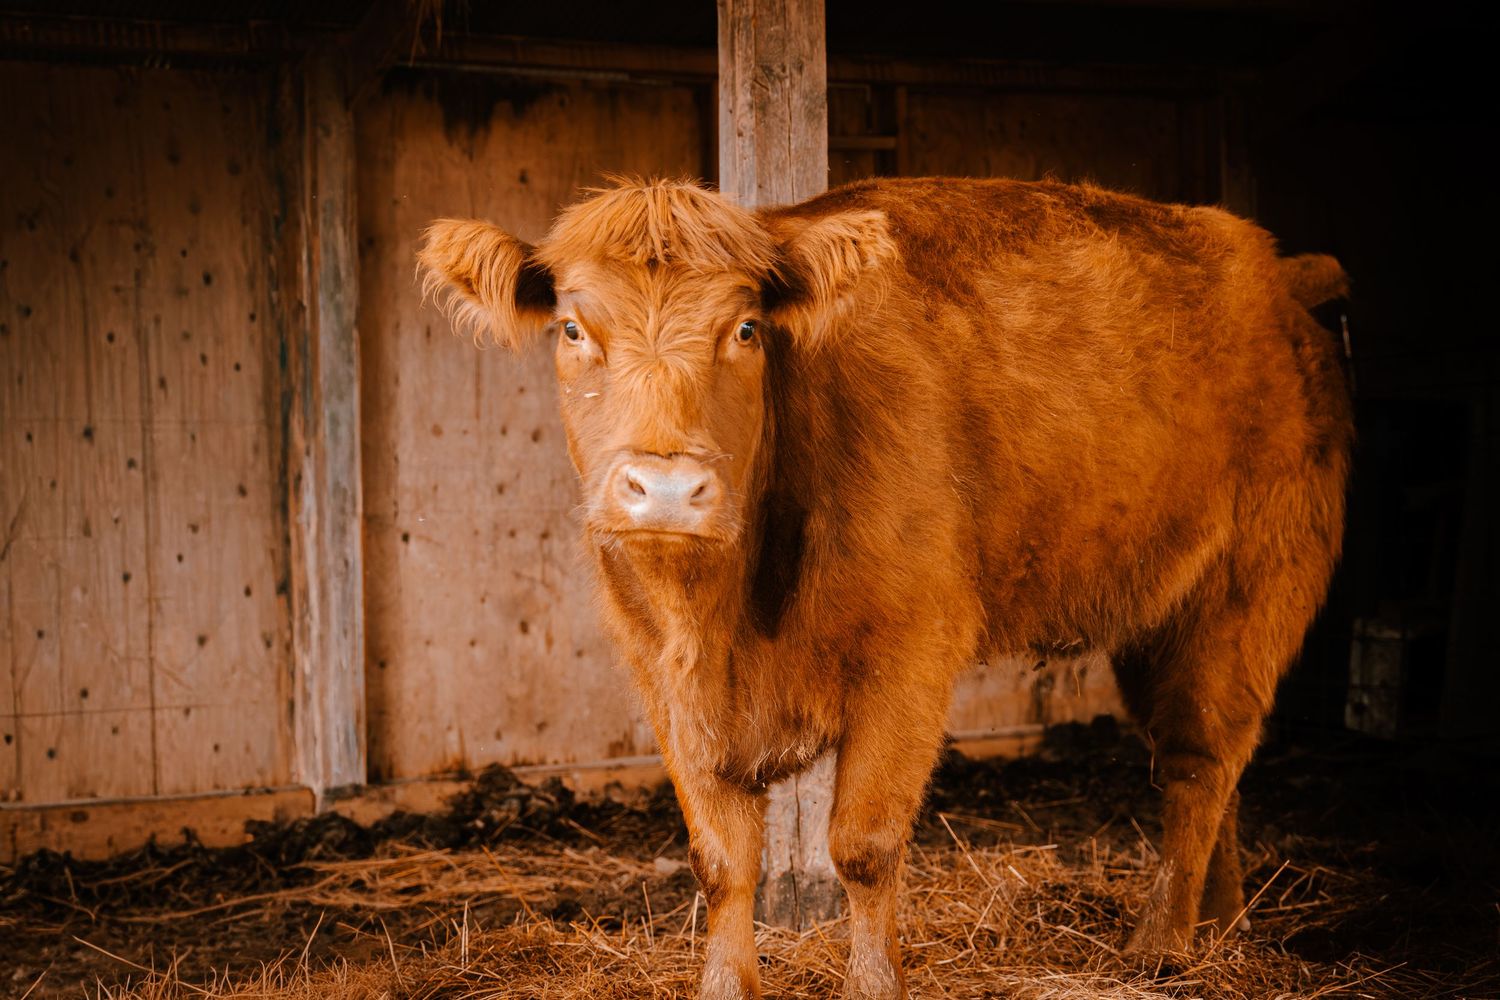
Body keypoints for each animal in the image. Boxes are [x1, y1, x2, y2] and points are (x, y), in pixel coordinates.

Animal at [418, 176, 1352, 1000]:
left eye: (746, 328)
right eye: (574, 329)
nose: (668, 489)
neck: (723, 615)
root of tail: (1280, 270)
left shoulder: (910, 655)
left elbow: (862, 846)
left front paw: (872, 983)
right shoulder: (664, 678)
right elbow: (720, 859)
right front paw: (724, 983)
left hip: (1248, 584)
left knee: (1200, 758)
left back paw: (1161, 946)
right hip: (1160, 612)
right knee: (1215, 766)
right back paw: (1218, 926)